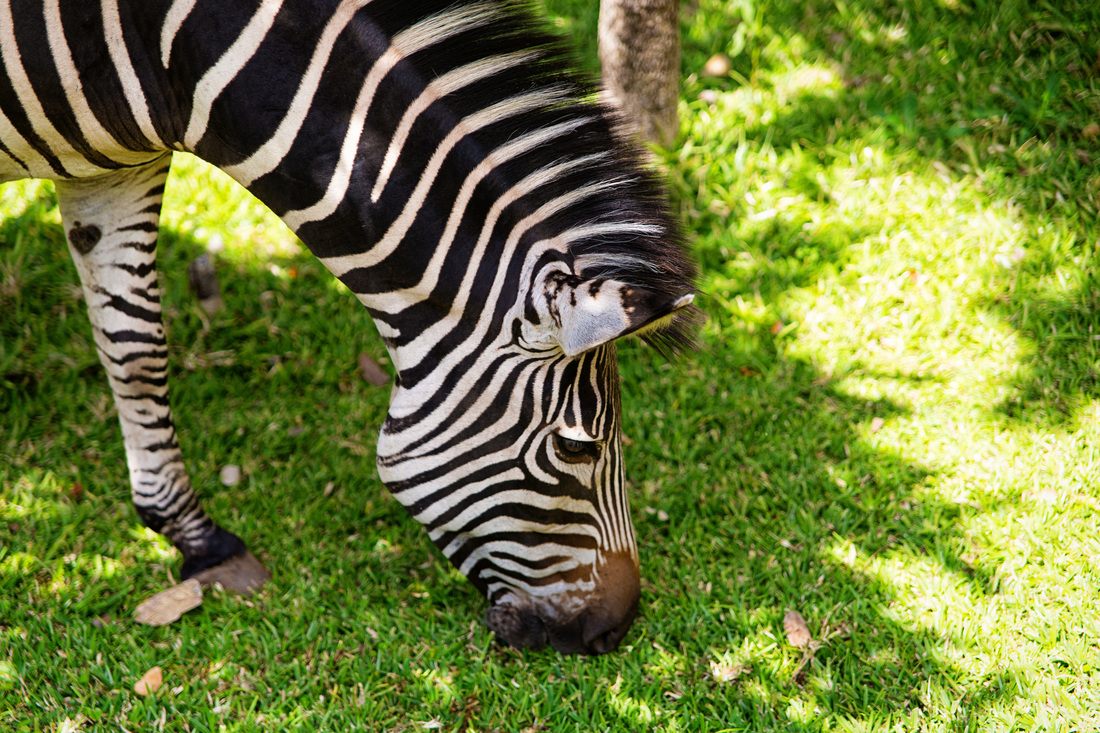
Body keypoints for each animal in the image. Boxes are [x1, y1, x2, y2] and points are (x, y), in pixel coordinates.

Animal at [0, 0, 697, 654]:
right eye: (578, 448)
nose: (611, 630)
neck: (168, 45)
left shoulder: (113, 169)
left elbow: (136, 350)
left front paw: (196, 539)